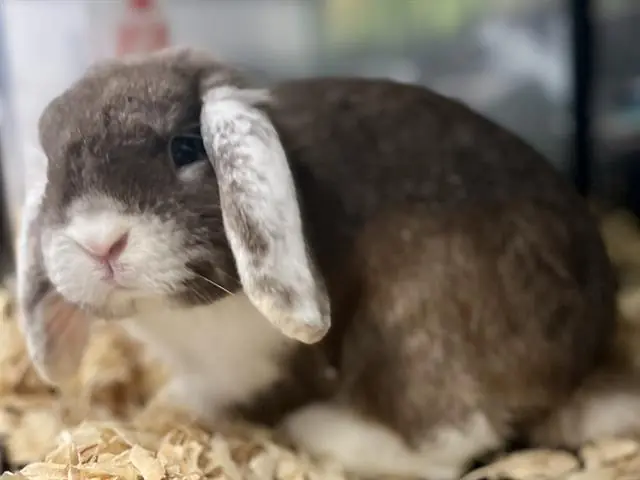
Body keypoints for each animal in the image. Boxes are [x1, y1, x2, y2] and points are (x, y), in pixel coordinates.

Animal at [16, 46, 640, 479]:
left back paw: (322, 431)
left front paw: (169, 411)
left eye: (186, 147)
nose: (101, 242)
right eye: (54, 171)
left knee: (448, 442)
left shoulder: (250, 367)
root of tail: (580, 371)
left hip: (413, 322)